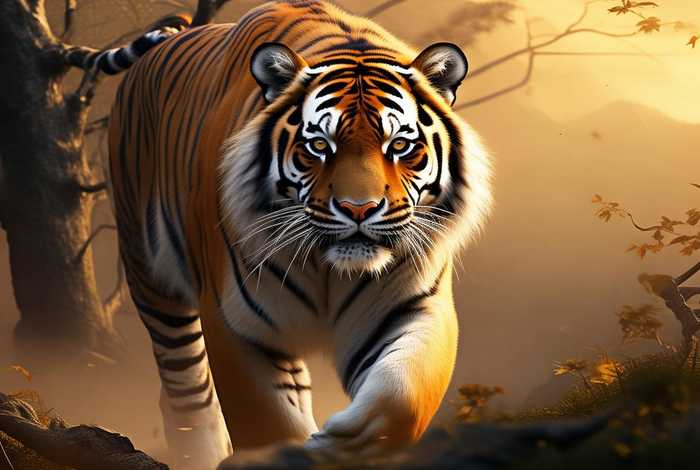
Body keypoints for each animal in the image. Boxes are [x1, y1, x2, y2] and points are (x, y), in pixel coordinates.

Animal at [107, 0, 491, 468]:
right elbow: (266, 422)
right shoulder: (234, 322)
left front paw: (350, 441)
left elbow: (402, 394)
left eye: (399, 145)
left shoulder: (414, 305)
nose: (358, 208)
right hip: (152, 281)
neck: (329, 269)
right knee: (186, 394)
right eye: (319, 146)